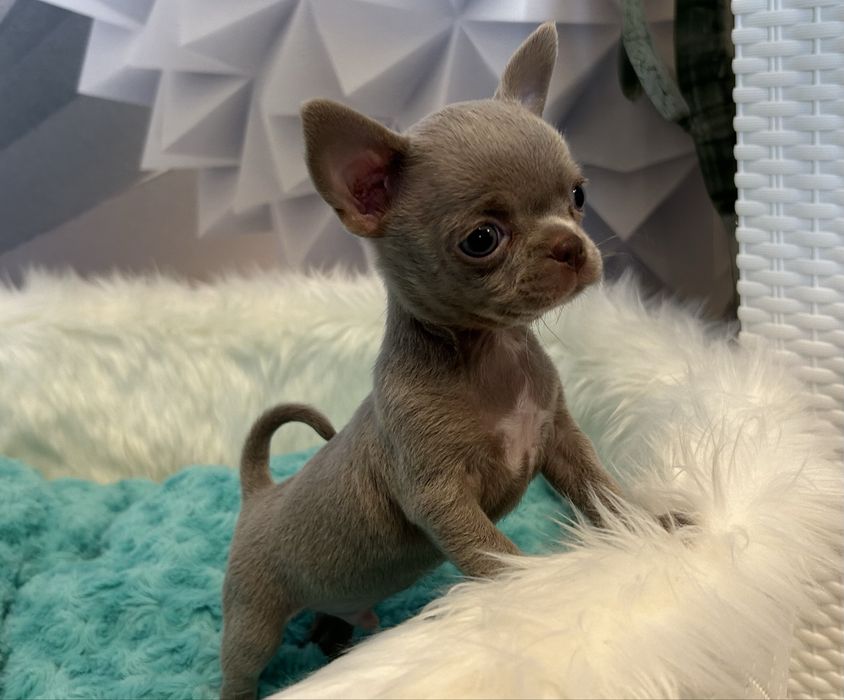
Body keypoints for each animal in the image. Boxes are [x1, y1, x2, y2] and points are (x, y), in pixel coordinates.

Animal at [221, 22, 636, 699]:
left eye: (577, 196)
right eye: (482, 239)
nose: (571, 246)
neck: (492, 356)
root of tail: (260, 494)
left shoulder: (563, 443)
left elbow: (605, 493)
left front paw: (658, 528)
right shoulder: (442, 498)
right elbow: (492, 551)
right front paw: (535, 594)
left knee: (335, 613)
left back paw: (333, 638)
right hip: (252, 617)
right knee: (240, 666)